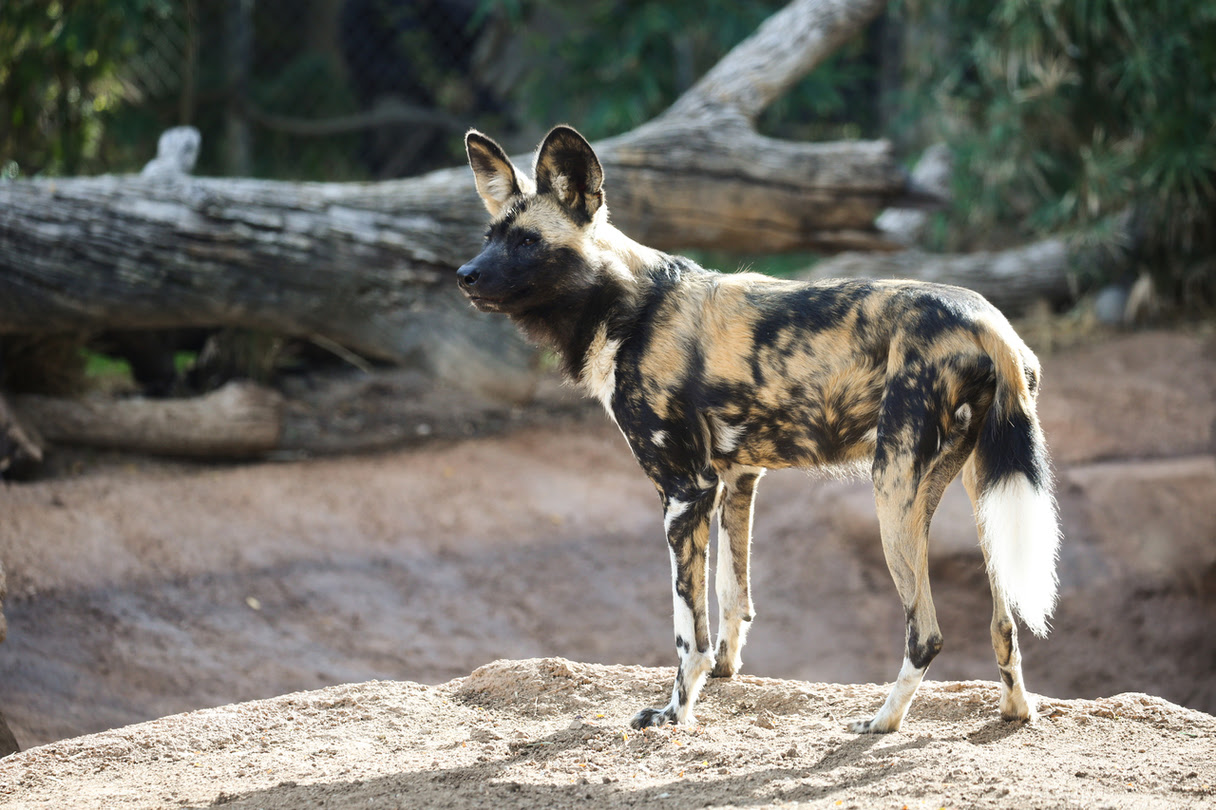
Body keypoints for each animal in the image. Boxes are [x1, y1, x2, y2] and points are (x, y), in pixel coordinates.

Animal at [459, 126, 1060, 729]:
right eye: (490, 237)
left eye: (528, 242)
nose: (465, 275)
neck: (629, 307)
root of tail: (986, 320)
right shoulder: (735, 480)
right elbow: (733, 596)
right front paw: (725, 674)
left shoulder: (684, 493)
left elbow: (688, 632)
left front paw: (677, 711)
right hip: (976, 489)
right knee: (1004, 620)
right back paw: (1014, 709)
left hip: (892, 489)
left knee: (926, 633)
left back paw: (882, 721)